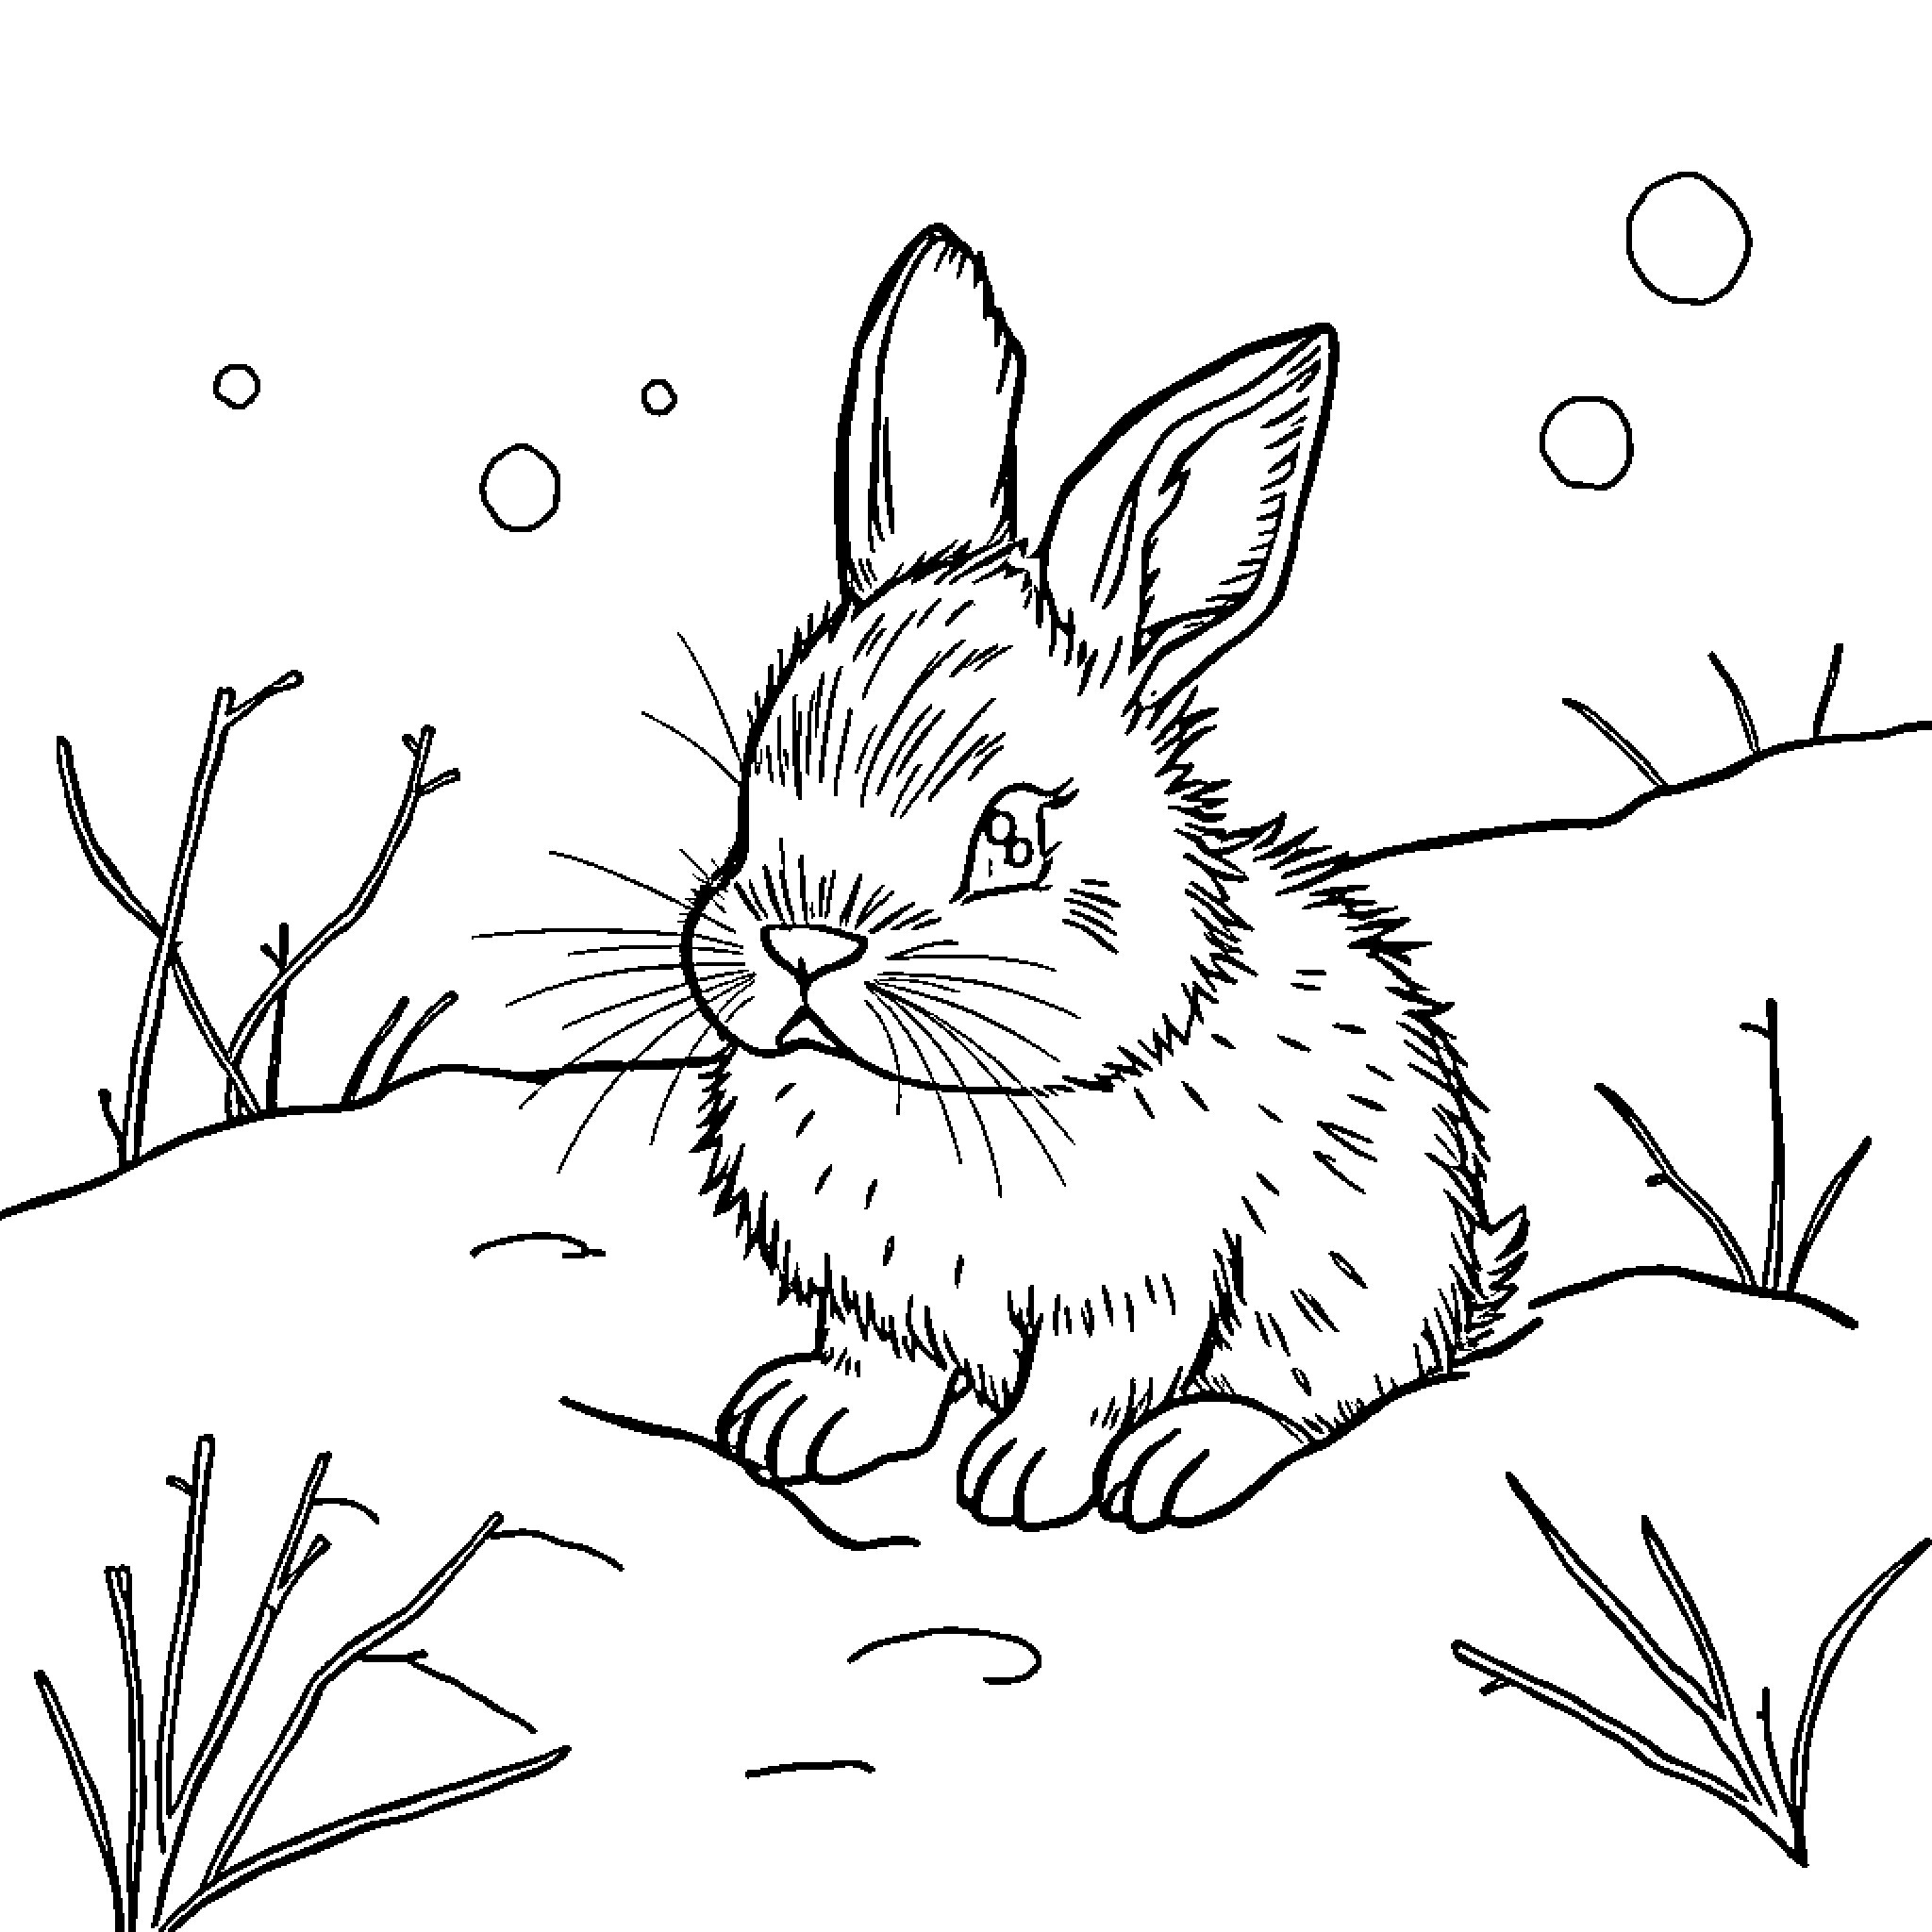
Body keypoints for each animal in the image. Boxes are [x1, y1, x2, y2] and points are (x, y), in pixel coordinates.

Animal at [678, 224, 1528, 1530]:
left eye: (1013, 837)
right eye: (761, 777)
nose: (804, 946)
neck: (949, 1089)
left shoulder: (1138, 1287)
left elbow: (1086, 1383)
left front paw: (1023, 1476)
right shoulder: (872, 1286)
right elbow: (882, 1364)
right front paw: (801, 1422)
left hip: (1339, 1285)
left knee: (1316, 1397)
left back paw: (1182, 1458)